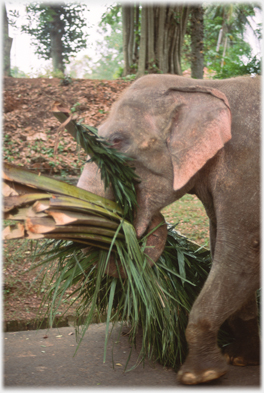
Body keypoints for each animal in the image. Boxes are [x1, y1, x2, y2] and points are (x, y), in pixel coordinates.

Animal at [77, 73, 260, 382]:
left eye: (116, 141)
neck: (202, 86)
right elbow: (221, 247)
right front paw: (240, 360)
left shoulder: (247, 169)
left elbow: (241, 253)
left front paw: (199, 376)